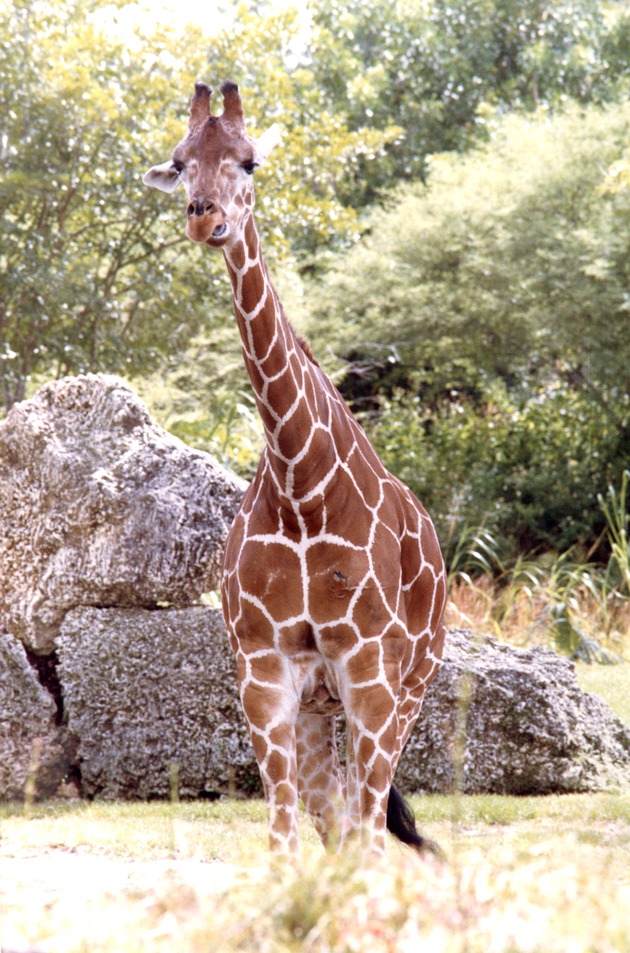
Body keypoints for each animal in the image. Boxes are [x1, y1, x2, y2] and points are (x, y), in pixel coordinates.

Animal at [143, 83, 450, 856]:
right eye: (180, 162)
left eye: (249, 161)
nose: (206, 218)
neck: (303, 486)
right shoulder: (263, 672)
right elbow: (282, 841)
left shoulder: (369, 672)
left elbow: (367, 838)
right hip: (319, 709)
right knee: (335, 825)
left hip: (409, 687)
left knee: (367, 829)